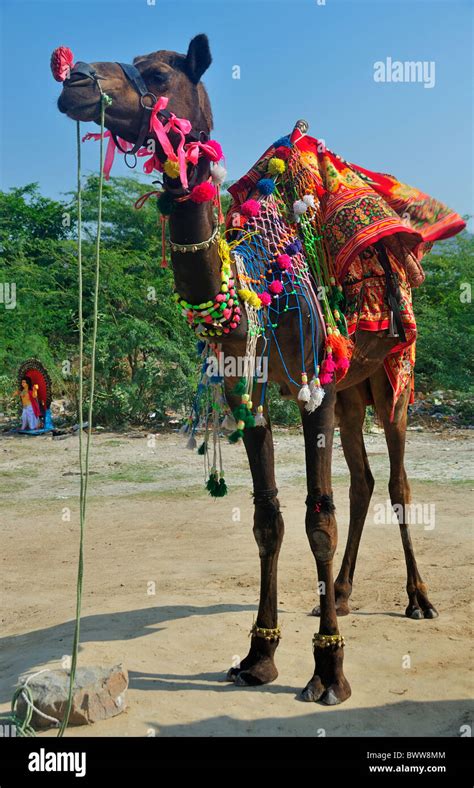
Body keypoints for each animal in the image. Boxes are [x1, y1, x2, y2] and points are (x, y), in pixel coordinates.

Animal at [54, 35, 462, 708]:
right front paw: (258, 654)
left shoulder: (313, 386)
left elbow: (316, 517)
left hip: (391, 375)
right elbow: (267, 519)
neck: (251, 281)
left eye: (158, 73)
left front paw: (328, 671)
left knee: (397, 483)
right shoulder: (254, 391)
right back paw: (340, 594)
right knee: (363, 481)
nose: (74, 80)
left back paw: (419, 600)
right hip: (353, 387)